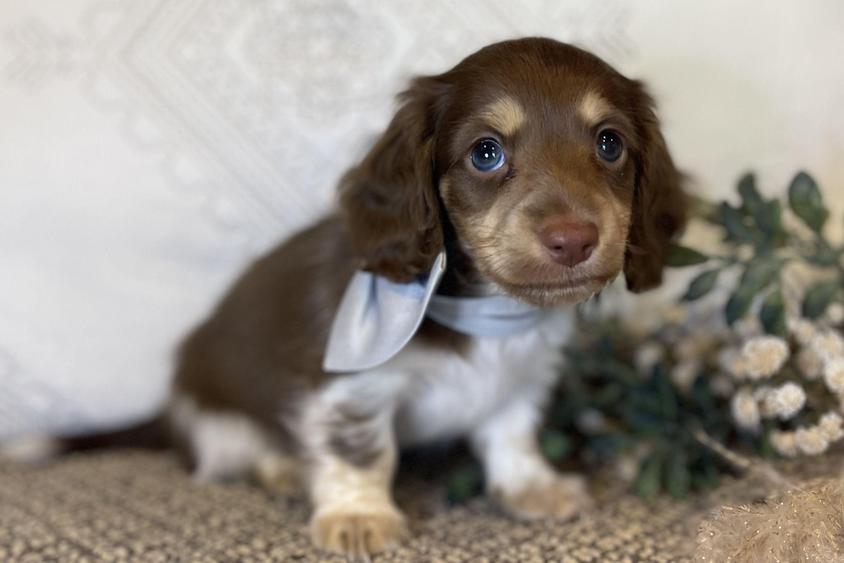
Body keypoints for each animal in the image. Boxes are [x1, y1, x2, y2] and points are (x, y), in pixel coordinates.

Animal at [168, 37, 684, 556]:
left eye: (610, 144)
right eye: (486, 152)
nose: (573, 240)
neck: (489, 312)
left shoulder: (522, 376)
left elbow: (512, 433)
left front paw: (533, 487)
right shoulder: (351, 386)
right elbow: (362, 450)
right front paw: (358, 515)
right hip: (218, 418)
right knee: (236, 453)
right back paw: (288, 468)